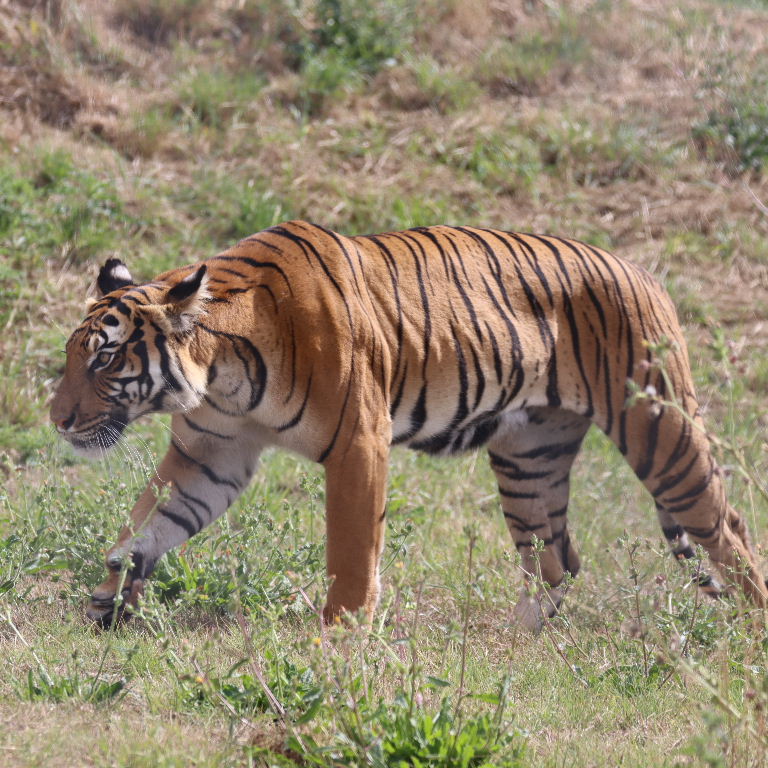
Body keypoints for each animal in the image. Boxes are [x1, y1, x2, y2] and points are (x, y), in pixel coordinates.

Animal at [51, 219, 764, 628]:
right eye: (72, 354)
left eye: (106, 357)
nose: (57, 420)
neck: (221, 372)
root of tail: (646, 273)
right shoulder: (212, 454)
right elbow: (150, 520)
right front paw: (111, 594)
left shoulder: (357, 445)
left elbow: (350, 551)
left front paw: (340, 635)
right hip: (528, 457)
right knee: (556, 558)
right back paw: (513, 648)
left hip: (661, 433)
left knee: (726, 528)